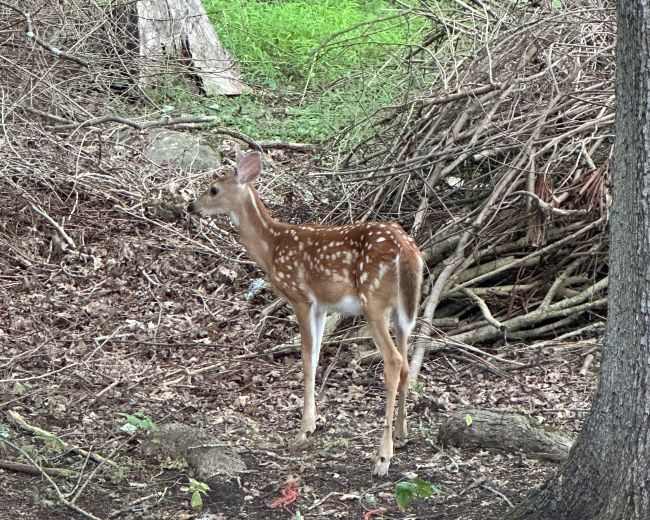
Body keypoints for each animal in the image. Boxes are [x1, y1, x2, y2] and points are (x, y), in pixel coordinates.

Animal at [188, 150, 423, 476]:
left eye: (213, 189)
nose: (191, 206)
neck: (271, 246)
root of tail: (406, 250)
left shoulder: (300, 298)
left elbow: (307, 361)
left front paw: (303, 430)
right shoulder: (323, 306)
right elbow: (316, 356)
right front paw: (312, 424)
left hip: (373, 301)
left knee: (394, 360)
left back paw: (382, 457)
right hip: (404, 308)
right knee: (406, 361)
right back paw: (402, 433)